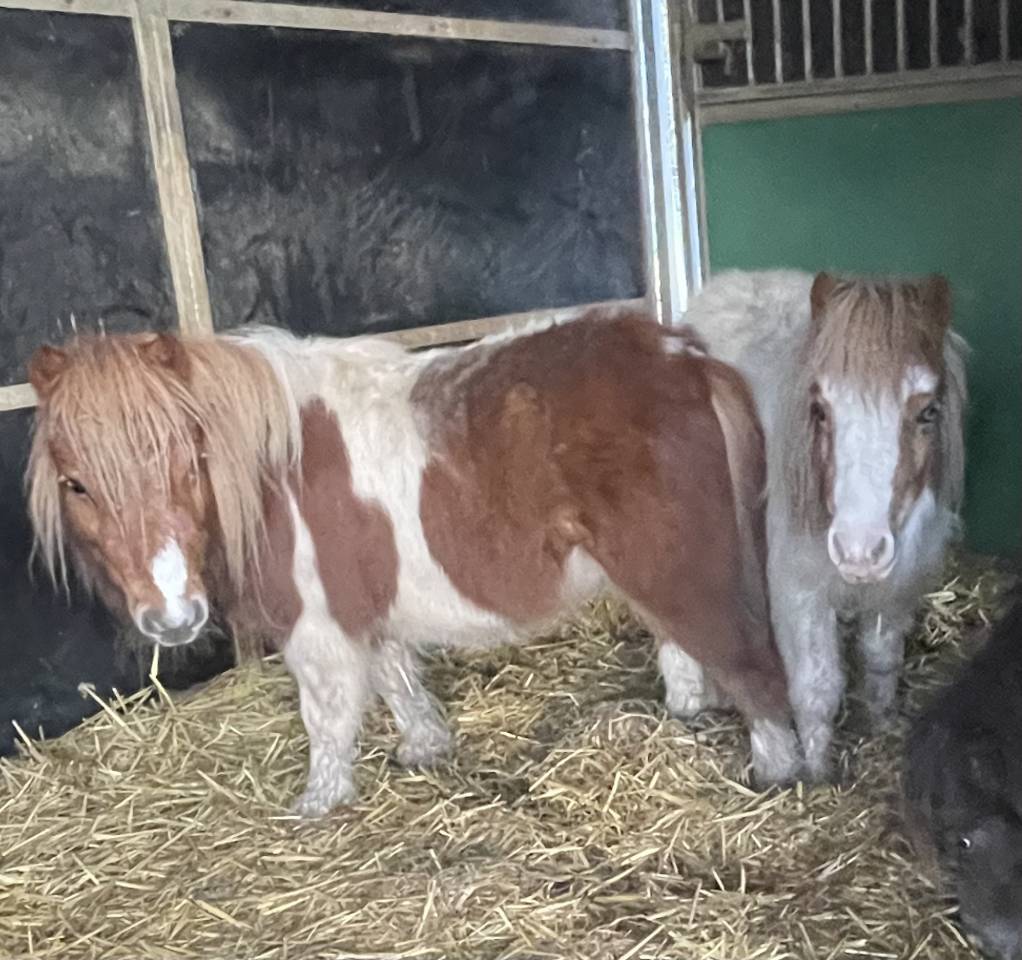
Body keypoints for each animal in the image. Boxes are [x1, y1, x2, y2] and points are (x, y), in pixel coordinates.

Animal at [26, 307, 798, 817]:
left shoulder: (317, 629)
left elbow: (328, 718)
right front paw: (425, 749)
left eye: (190, 462)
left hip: (685, 570)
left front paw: (318, 806)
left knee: (750, 665)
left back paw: (776, 770)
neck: (270, 468)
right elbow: (396, 678)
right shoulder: (367, 610)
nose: (172, 616)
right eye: (76, 485)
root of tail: (686, 359)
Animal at [674, 270, 967, 783]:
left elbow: (882, 659)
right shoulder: (799, 592)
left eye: (927, 411)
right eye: (820, 410)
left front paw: (882, 721)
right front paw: (814, 771)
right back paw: (688, 698)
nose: (859, 551)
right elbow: (816, 688)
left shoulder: (896, 587)